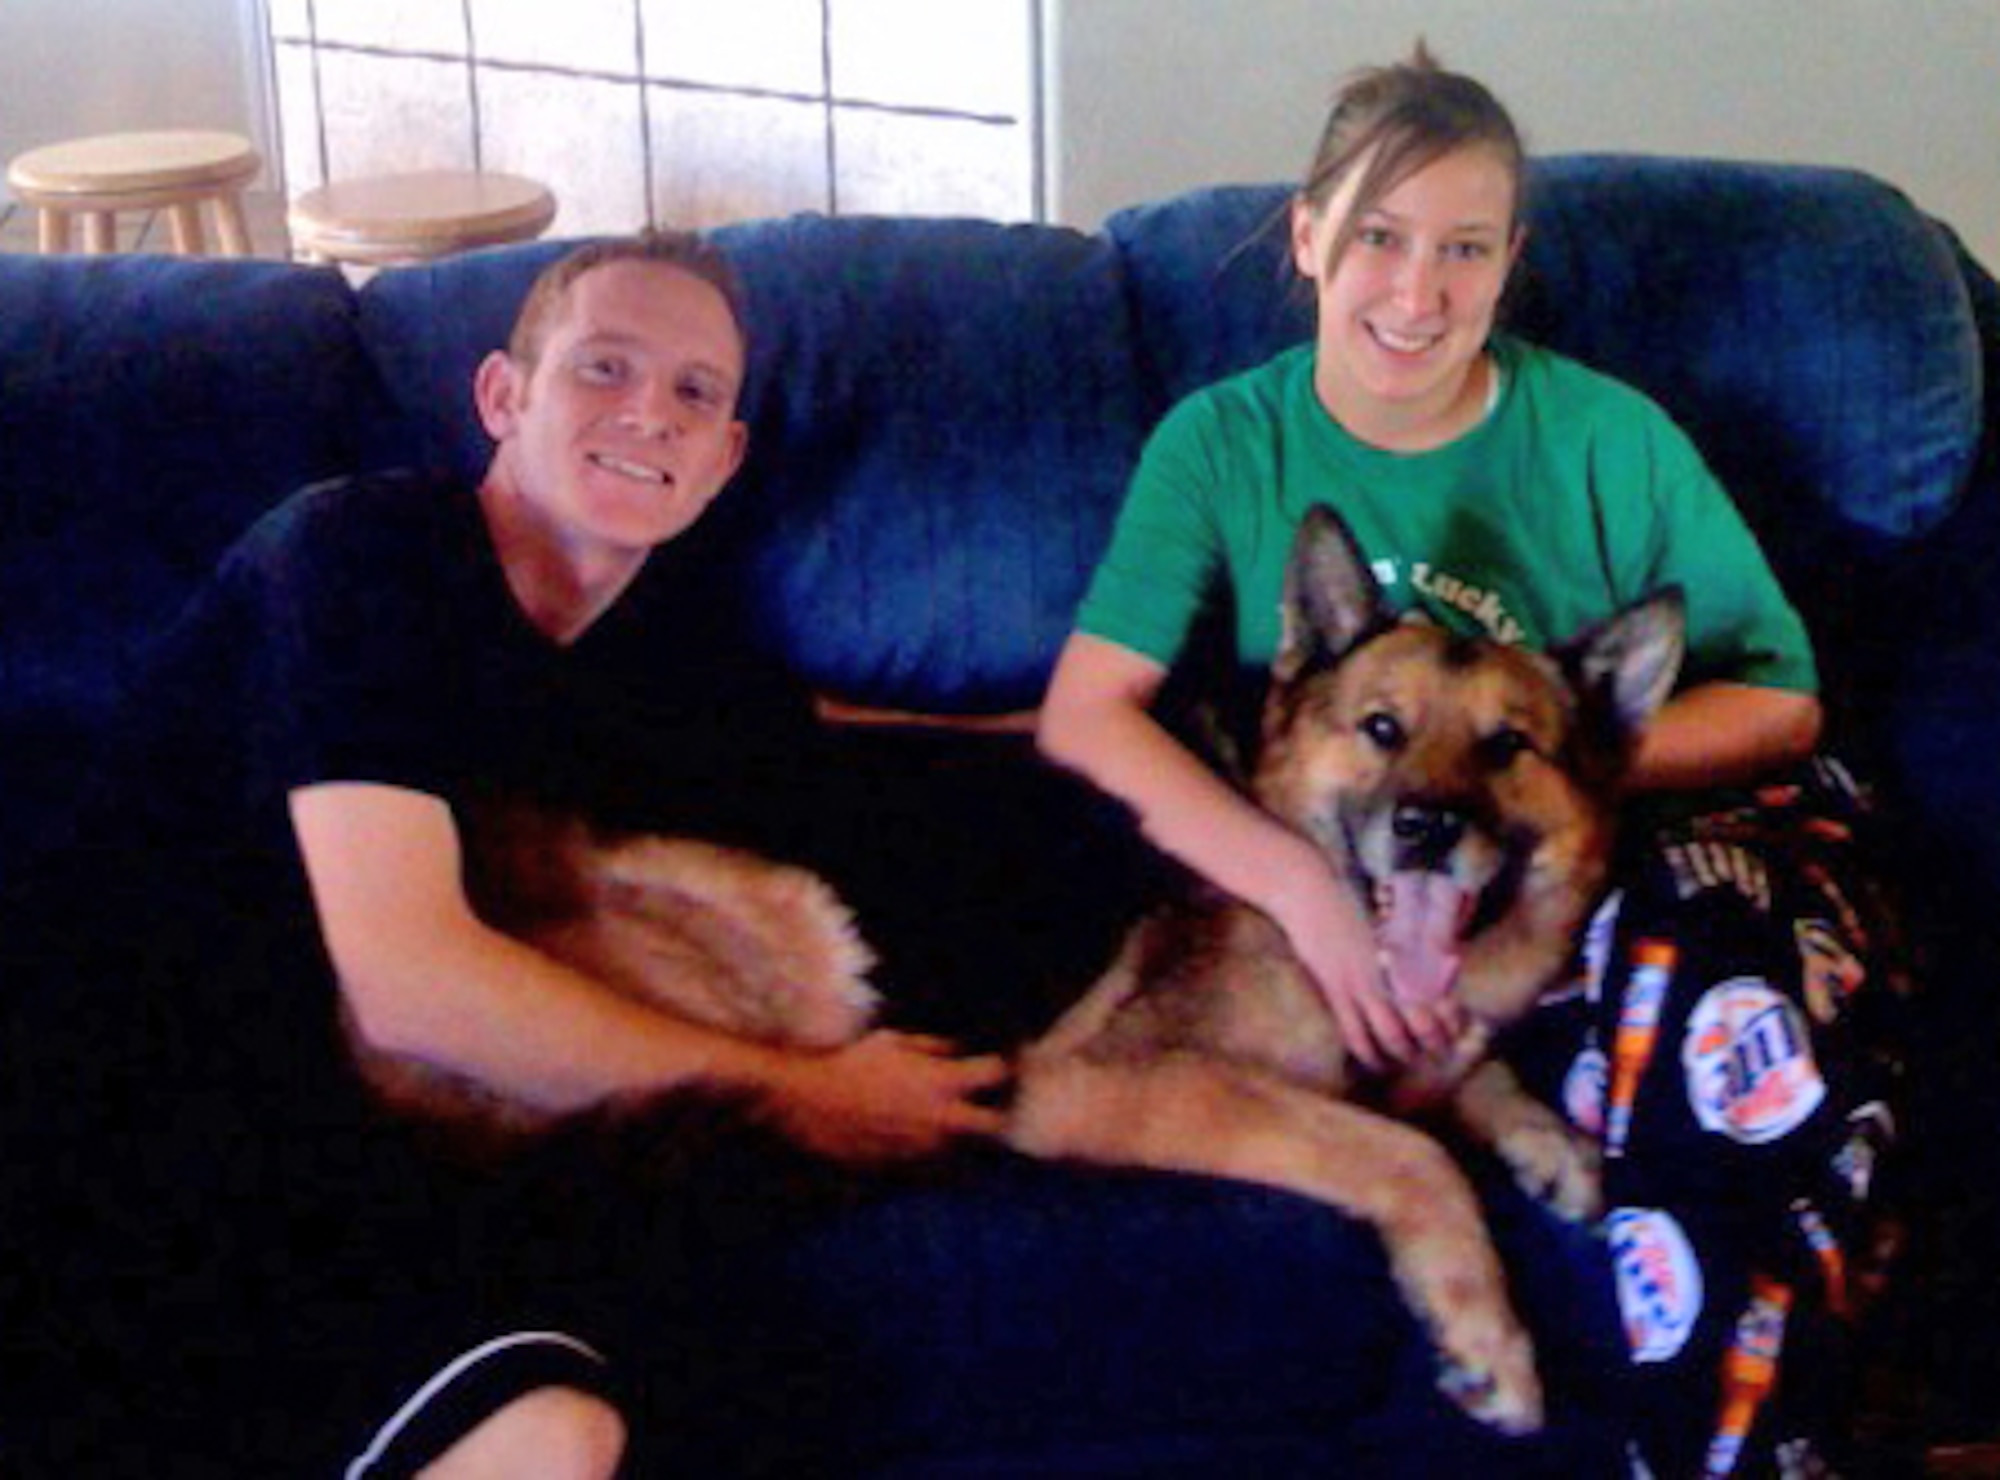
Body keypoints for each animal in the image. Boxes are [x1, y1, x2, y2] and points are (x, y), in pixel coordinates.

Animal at [348, 506, 1688, 1432]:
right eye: (1379, 729)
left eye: (1507, 748)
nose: (1424, 829)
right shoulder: (1122, 1085)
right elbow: (1406, 1152)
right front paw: (1488, 1335)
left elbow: (1461, 1086)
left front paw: (1546, 1140)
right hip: (814, 941)